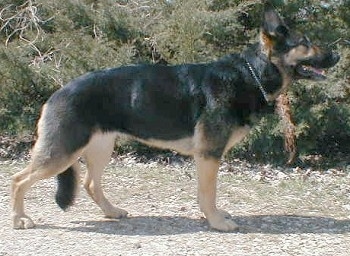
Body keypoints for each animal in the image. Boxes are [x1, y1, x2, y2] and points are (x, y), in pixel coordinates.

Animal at [11, 5, 340, 231]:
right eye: (305, 42)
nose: (337, 56)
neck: (251, 73)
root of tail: (57, 92)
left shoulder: (209, 156)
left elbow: (209, 193)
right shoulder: (208, 155)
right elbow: (207, 193)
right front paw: (217, 222)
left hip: (99, 149)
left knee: (91, 184)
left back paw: (111, 211)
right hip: (63, 153)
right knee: (18, 180)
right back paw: (20, 219)